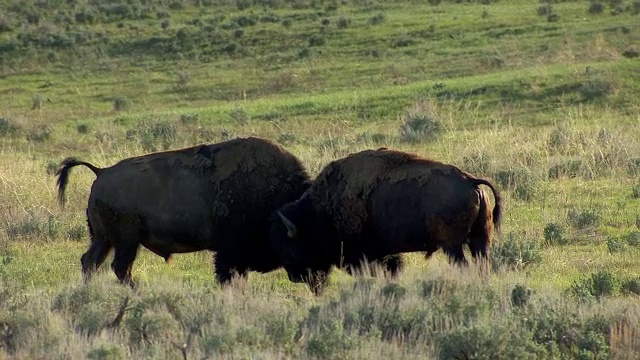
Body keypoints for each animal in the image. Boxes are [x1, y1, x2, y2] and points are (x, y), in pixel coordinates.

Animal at [56, 136, 312, 288]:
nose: (305, 277)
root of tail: (101, 172)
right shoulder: (230, 251)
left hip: (103, 238)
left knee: (91, 261)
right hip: (126, 241)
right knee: (119, 267)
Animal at [268, 148, 500, 294]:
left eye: (290, 246)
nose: (293, 276)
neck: (319, 212)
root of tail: (470, 181)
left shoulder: (361, 257)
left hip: (453, 246)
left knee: (465, 265)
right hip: (480, 240)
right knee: (483, 264)